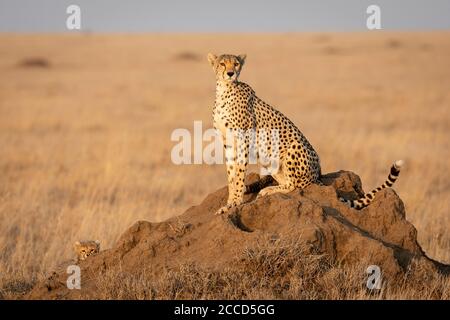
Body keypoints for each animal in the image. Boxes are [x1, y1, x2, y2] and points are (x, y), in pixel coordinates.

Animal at [208, 53, 404, 215]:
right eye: (222, 64)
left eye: (236, 64)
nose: (231, 73)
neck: (224, 91)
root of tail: (318, 175)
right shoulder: (228, 141)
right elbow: (231, 173)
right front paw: (230, 201)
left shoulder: (243, 139)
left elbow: (239, 173)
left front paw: (235, 202)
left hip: (293, 146)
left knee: (296, 185)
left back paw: (268, 190)